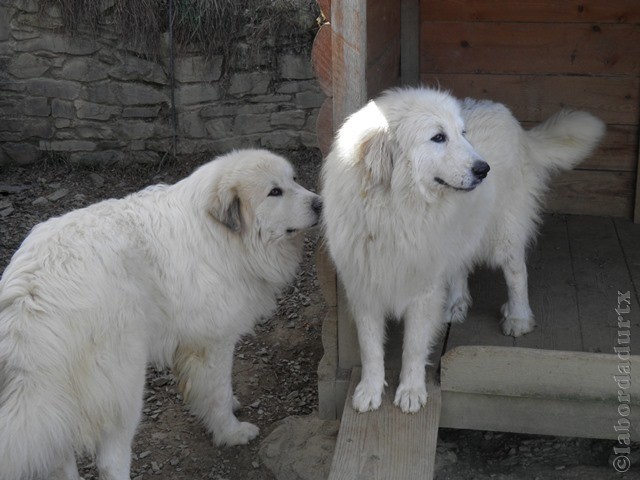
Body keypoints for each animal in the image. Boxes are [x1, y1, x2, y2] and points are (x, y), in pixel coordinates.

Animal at [0, 150, 320, 480]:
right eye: (274, 192)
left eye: (294, 179)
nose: (320, 203)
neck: (220, 234)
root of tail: (32, 295)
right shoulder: (213, 343)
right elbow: (218, 390)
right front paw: (231, 431)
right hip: (124, 384)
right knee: (109, 460)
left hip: (56, 399)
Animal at [322, 88, 608, 414]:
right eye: (438, 137)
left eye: (462, 133)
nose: (484, 170)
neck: (394, 211)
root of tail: (512, 121)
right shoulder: (365, 285)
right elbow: (370, 348)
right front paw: (369, 391)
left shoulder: (422, 289)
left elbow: (414, 347)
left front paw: (411, 391)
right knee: (460, 265)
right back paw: (456, 303)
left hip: (504, 232)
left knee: (516, 272)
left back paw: (518, 318)